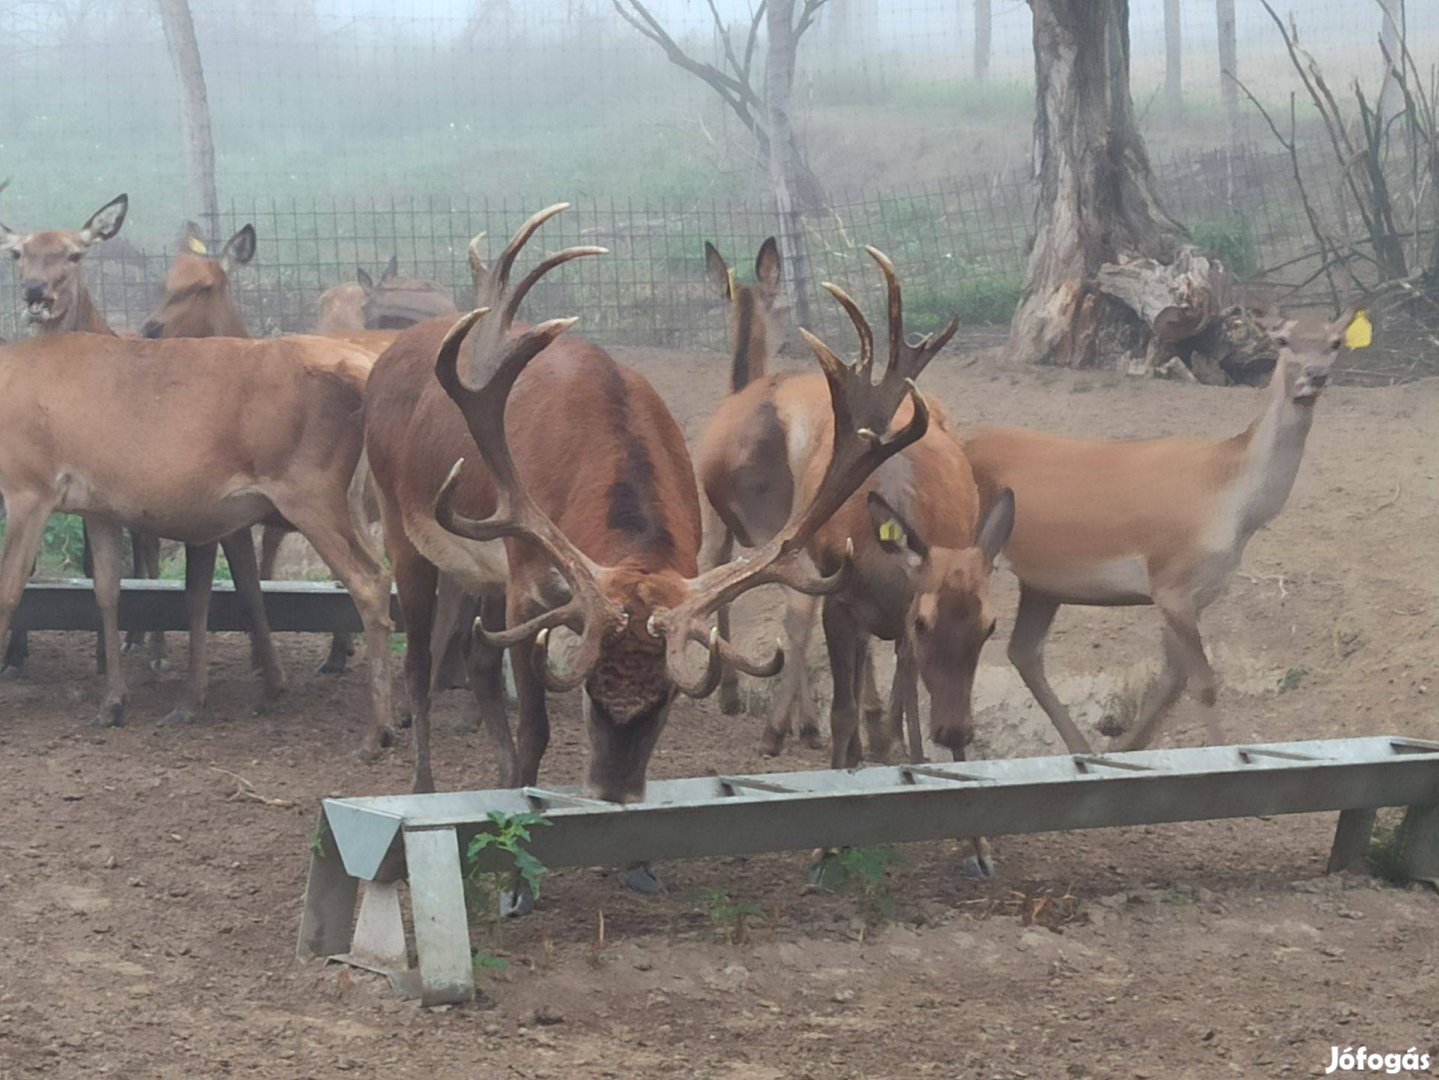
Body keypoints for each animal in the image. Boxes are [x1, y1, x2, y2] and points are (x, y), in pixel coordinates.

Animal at [359, 202, 920, 834]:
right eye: (589, 692)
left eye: (667, 699)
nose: (614, 789)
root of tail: (388, 353)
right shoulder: (527, 578)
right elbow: (535, 730)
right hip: (400, 521)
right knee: (419, 662)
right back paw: (422, 783)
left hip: (477, 572)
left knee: (476, 658)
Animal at [961, 307, 1364, 753]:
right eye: (1282, 341)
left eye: (1335, 342)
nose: (1316, 375)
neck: (1231, 506)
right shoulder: (1169, 580)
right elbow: (1202, 683)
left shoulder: (1198, 592)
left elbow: (1173, 679)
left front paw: (1124, 748)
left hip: (1041, 583)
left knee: (1024, 651)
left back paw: (1082, 749)